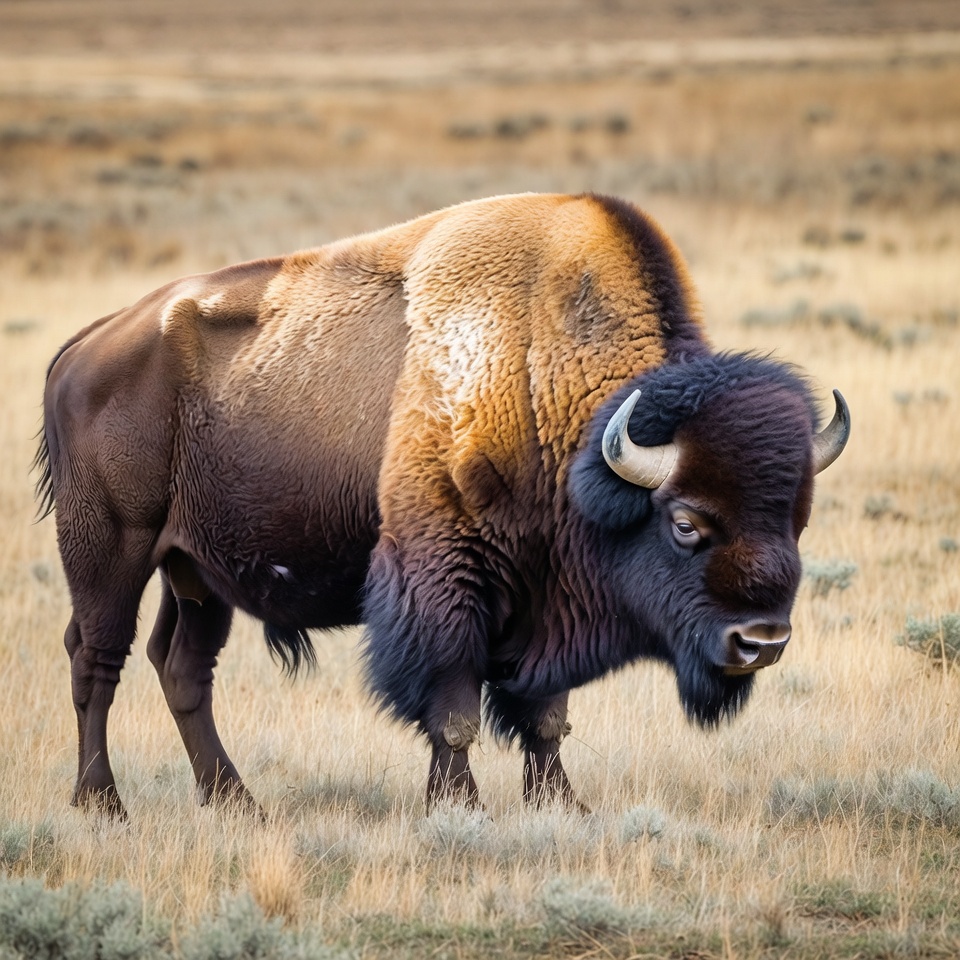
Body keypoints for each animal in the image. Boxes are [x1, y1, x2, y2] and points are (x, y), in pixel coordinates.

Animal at [36, 193, 849, 816]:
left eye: (796, 518)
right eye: (685, 523)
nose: (761, 641)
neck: (537, 370)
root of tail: (83, 348)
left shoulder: (543, 596)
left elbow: (547, 715)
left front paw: (562, 805)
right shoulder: (446, 583)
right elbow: (454, 711)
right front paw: (457, 806)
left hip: (196, 573)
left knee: (182, 668)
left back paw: (237, 802)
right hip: (111, 548)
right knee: (96, 659)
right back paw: (101, 803)